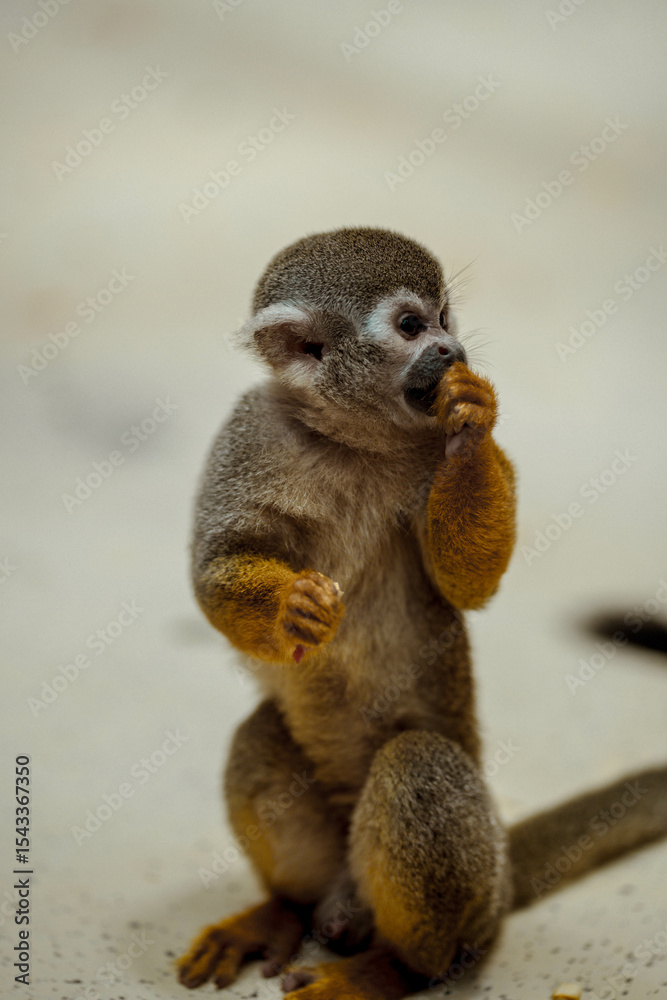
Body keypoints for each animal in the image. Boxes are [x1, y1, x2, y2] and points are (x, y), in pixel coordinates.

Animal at [176, 227, 667, 998]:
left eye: (444, 317)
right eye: (411, 326)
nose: (452, 350)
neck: (352, 439)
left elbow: (468, 582)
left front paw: (474, 422)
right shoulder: (249, 433)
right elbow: (216, 564)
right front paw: (287, 607)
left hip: (474, 889)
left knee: (418, 767)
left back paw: (390, 970)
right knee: (259, 735)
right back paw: (280, 910)